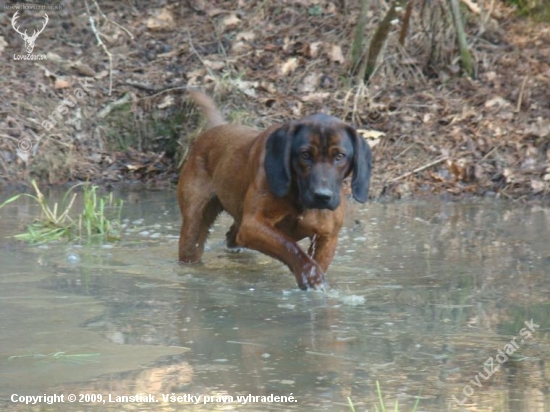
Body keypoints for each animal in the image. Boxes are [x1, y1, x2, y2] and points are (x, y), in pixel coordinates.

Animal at [179, 91, 374, 290]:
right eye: (305, 154)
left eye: (340, 156)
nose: (322, 196)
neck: (299, 198)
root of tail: (215, 129)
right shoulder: (252, 225)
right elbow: (289, 246)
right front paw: (309, 274)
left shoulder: (327, 237)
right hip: (194, 225)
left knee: (232, 237)